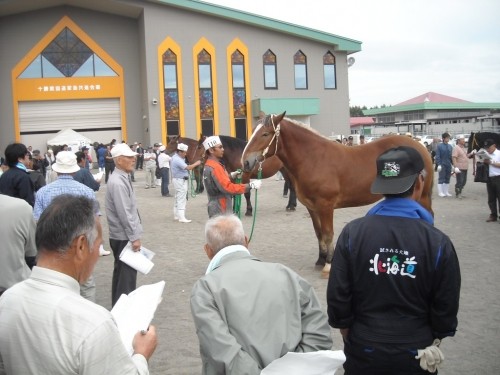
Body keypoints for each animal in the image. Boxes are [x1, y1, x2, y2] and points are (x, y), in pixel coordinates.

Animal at [241, 111, 434, 276]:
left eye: (265, 134)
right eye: (253, 132)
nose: (245, 162)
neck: (314, 158)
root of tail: (419, 145)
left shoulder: (326, 206)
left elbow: (328, 233)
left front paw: (328, 263)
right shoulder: (312, 207)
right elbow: (318, 232)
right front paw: (320, 259)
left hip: (421, 196)